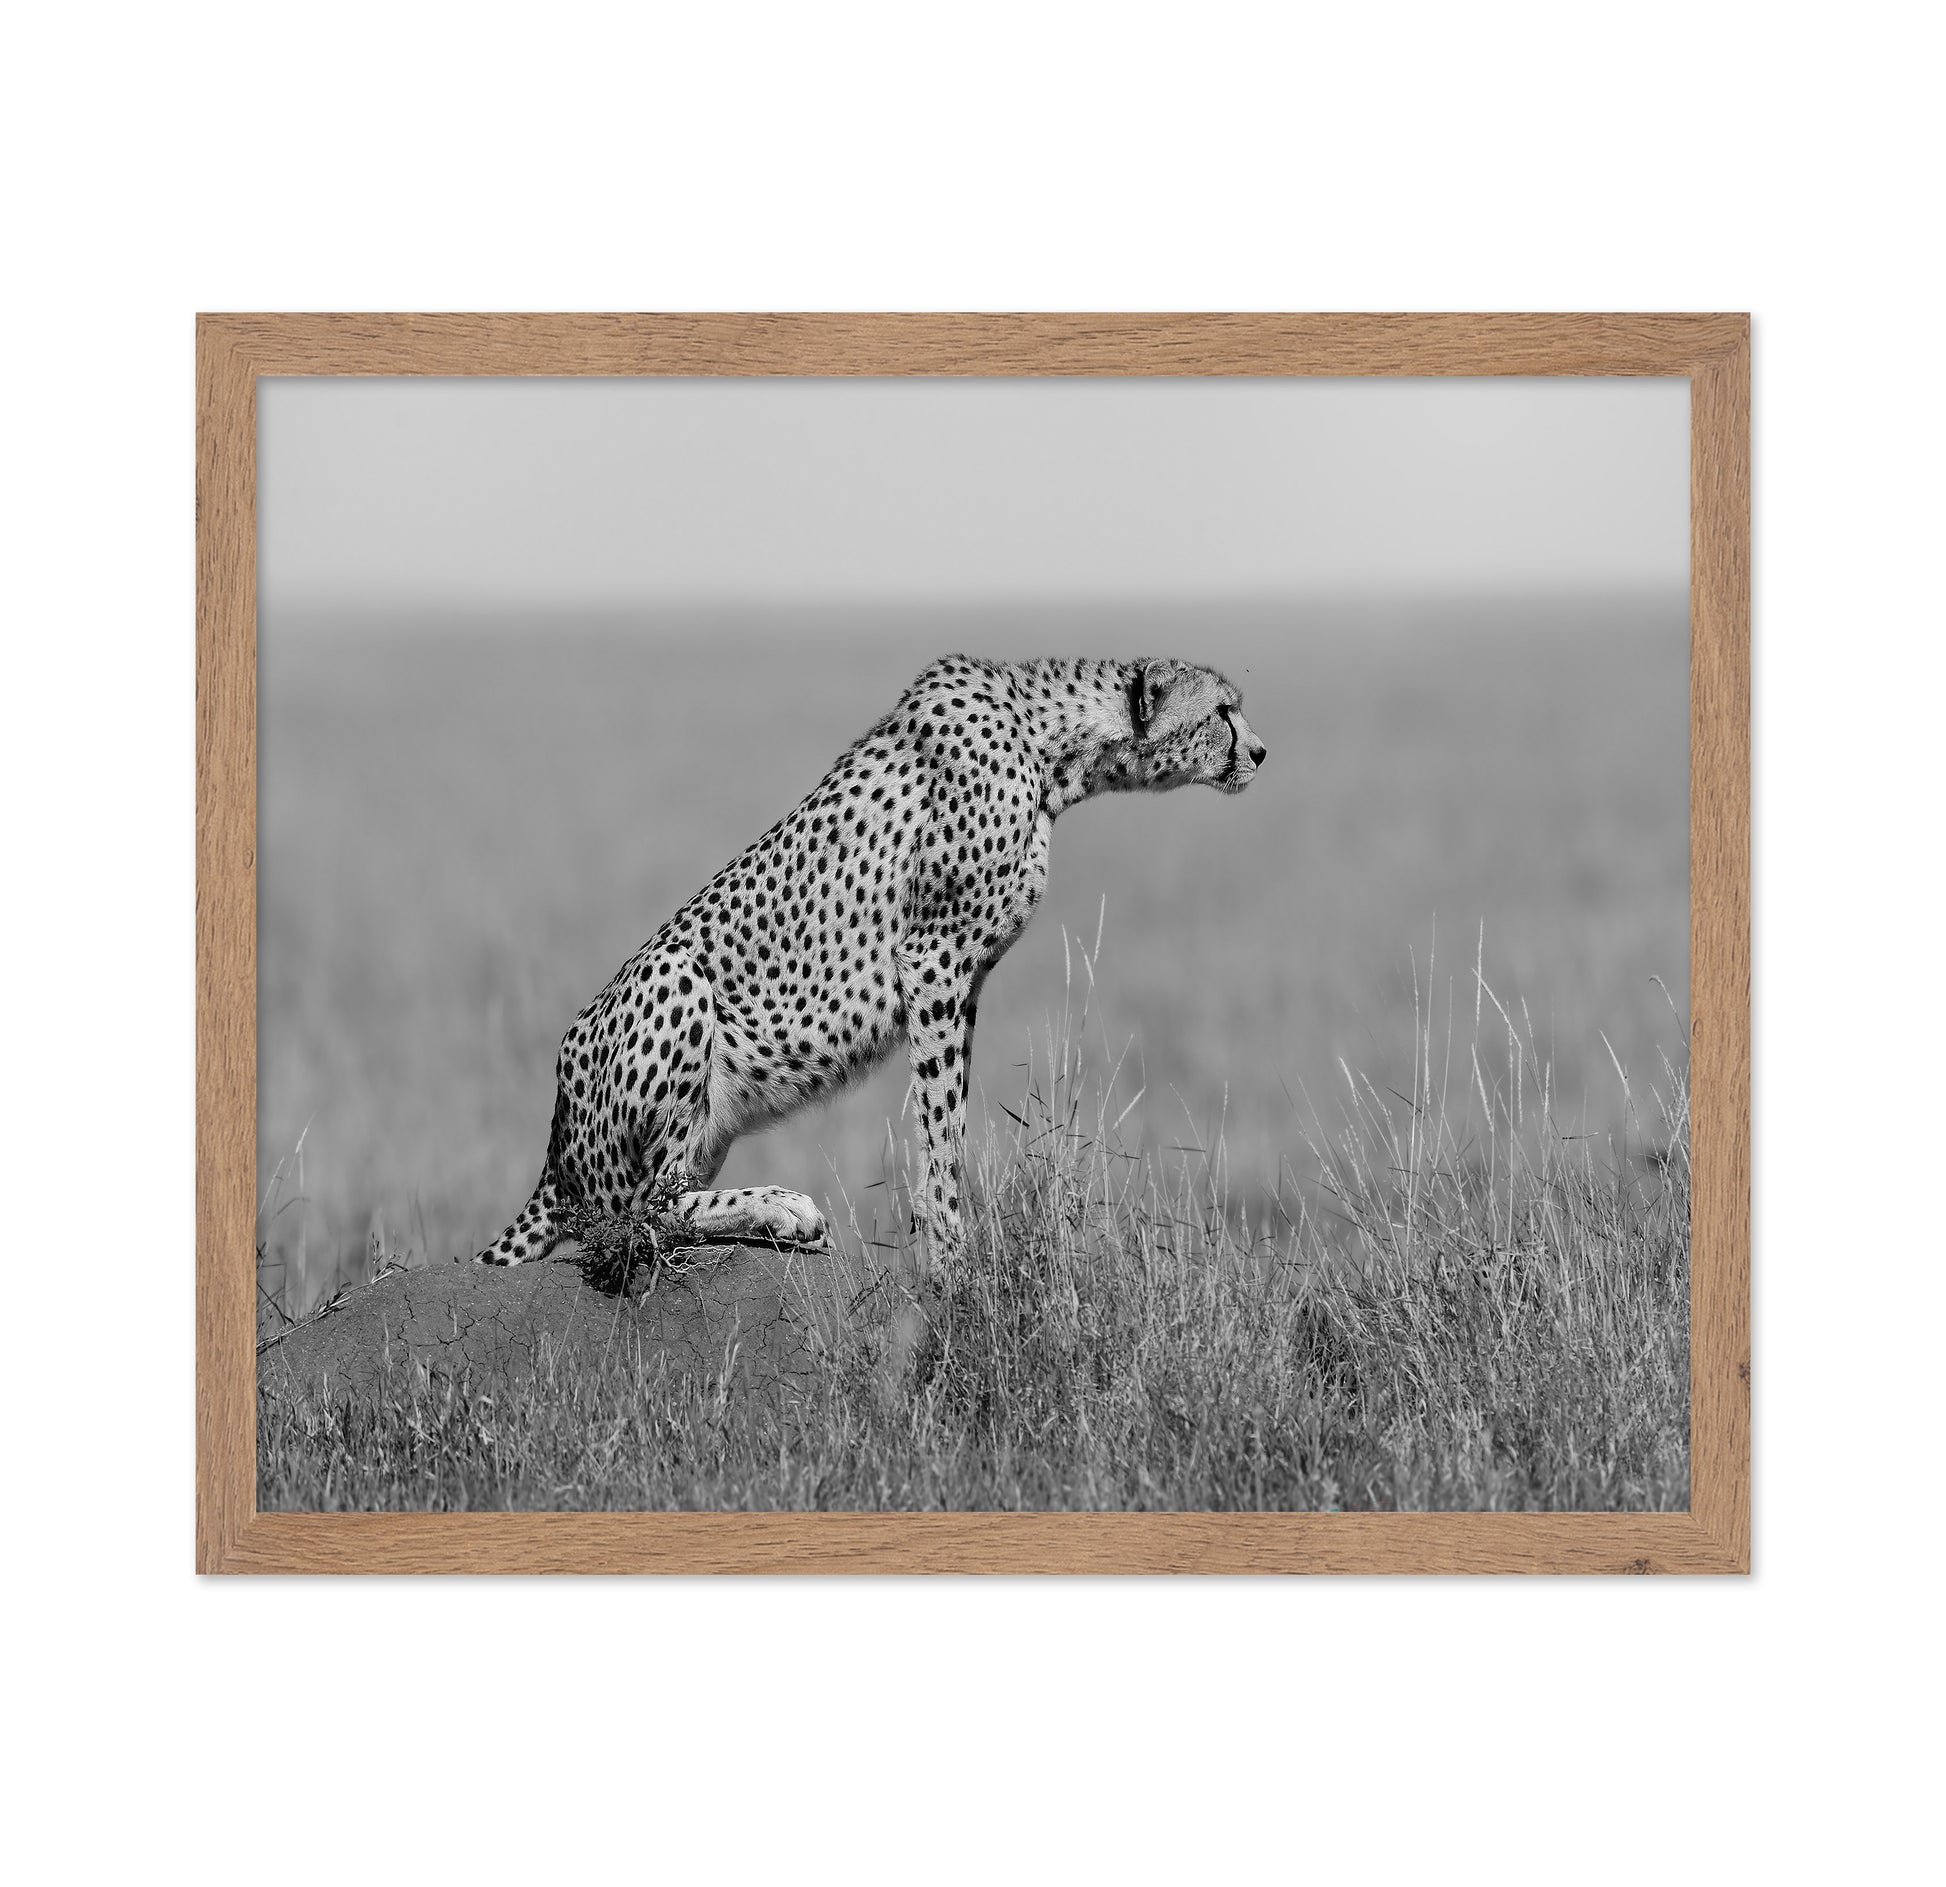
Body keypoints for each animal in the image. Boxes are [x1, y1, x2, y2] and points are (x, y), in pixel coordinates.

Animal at [474, 654, 1267, 1271]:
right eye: (1223, 710)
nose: (1261, 752)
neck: (1051, 746)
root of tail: (555, 1138)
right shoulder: (935, 958)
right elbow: (940, 1123)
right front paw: (950, 1253)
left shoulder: (964, 978)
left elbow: (950, 1114)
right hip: (676, 979)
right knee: (632, 1218)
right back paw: (783, 1207)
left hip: (705, 1124)